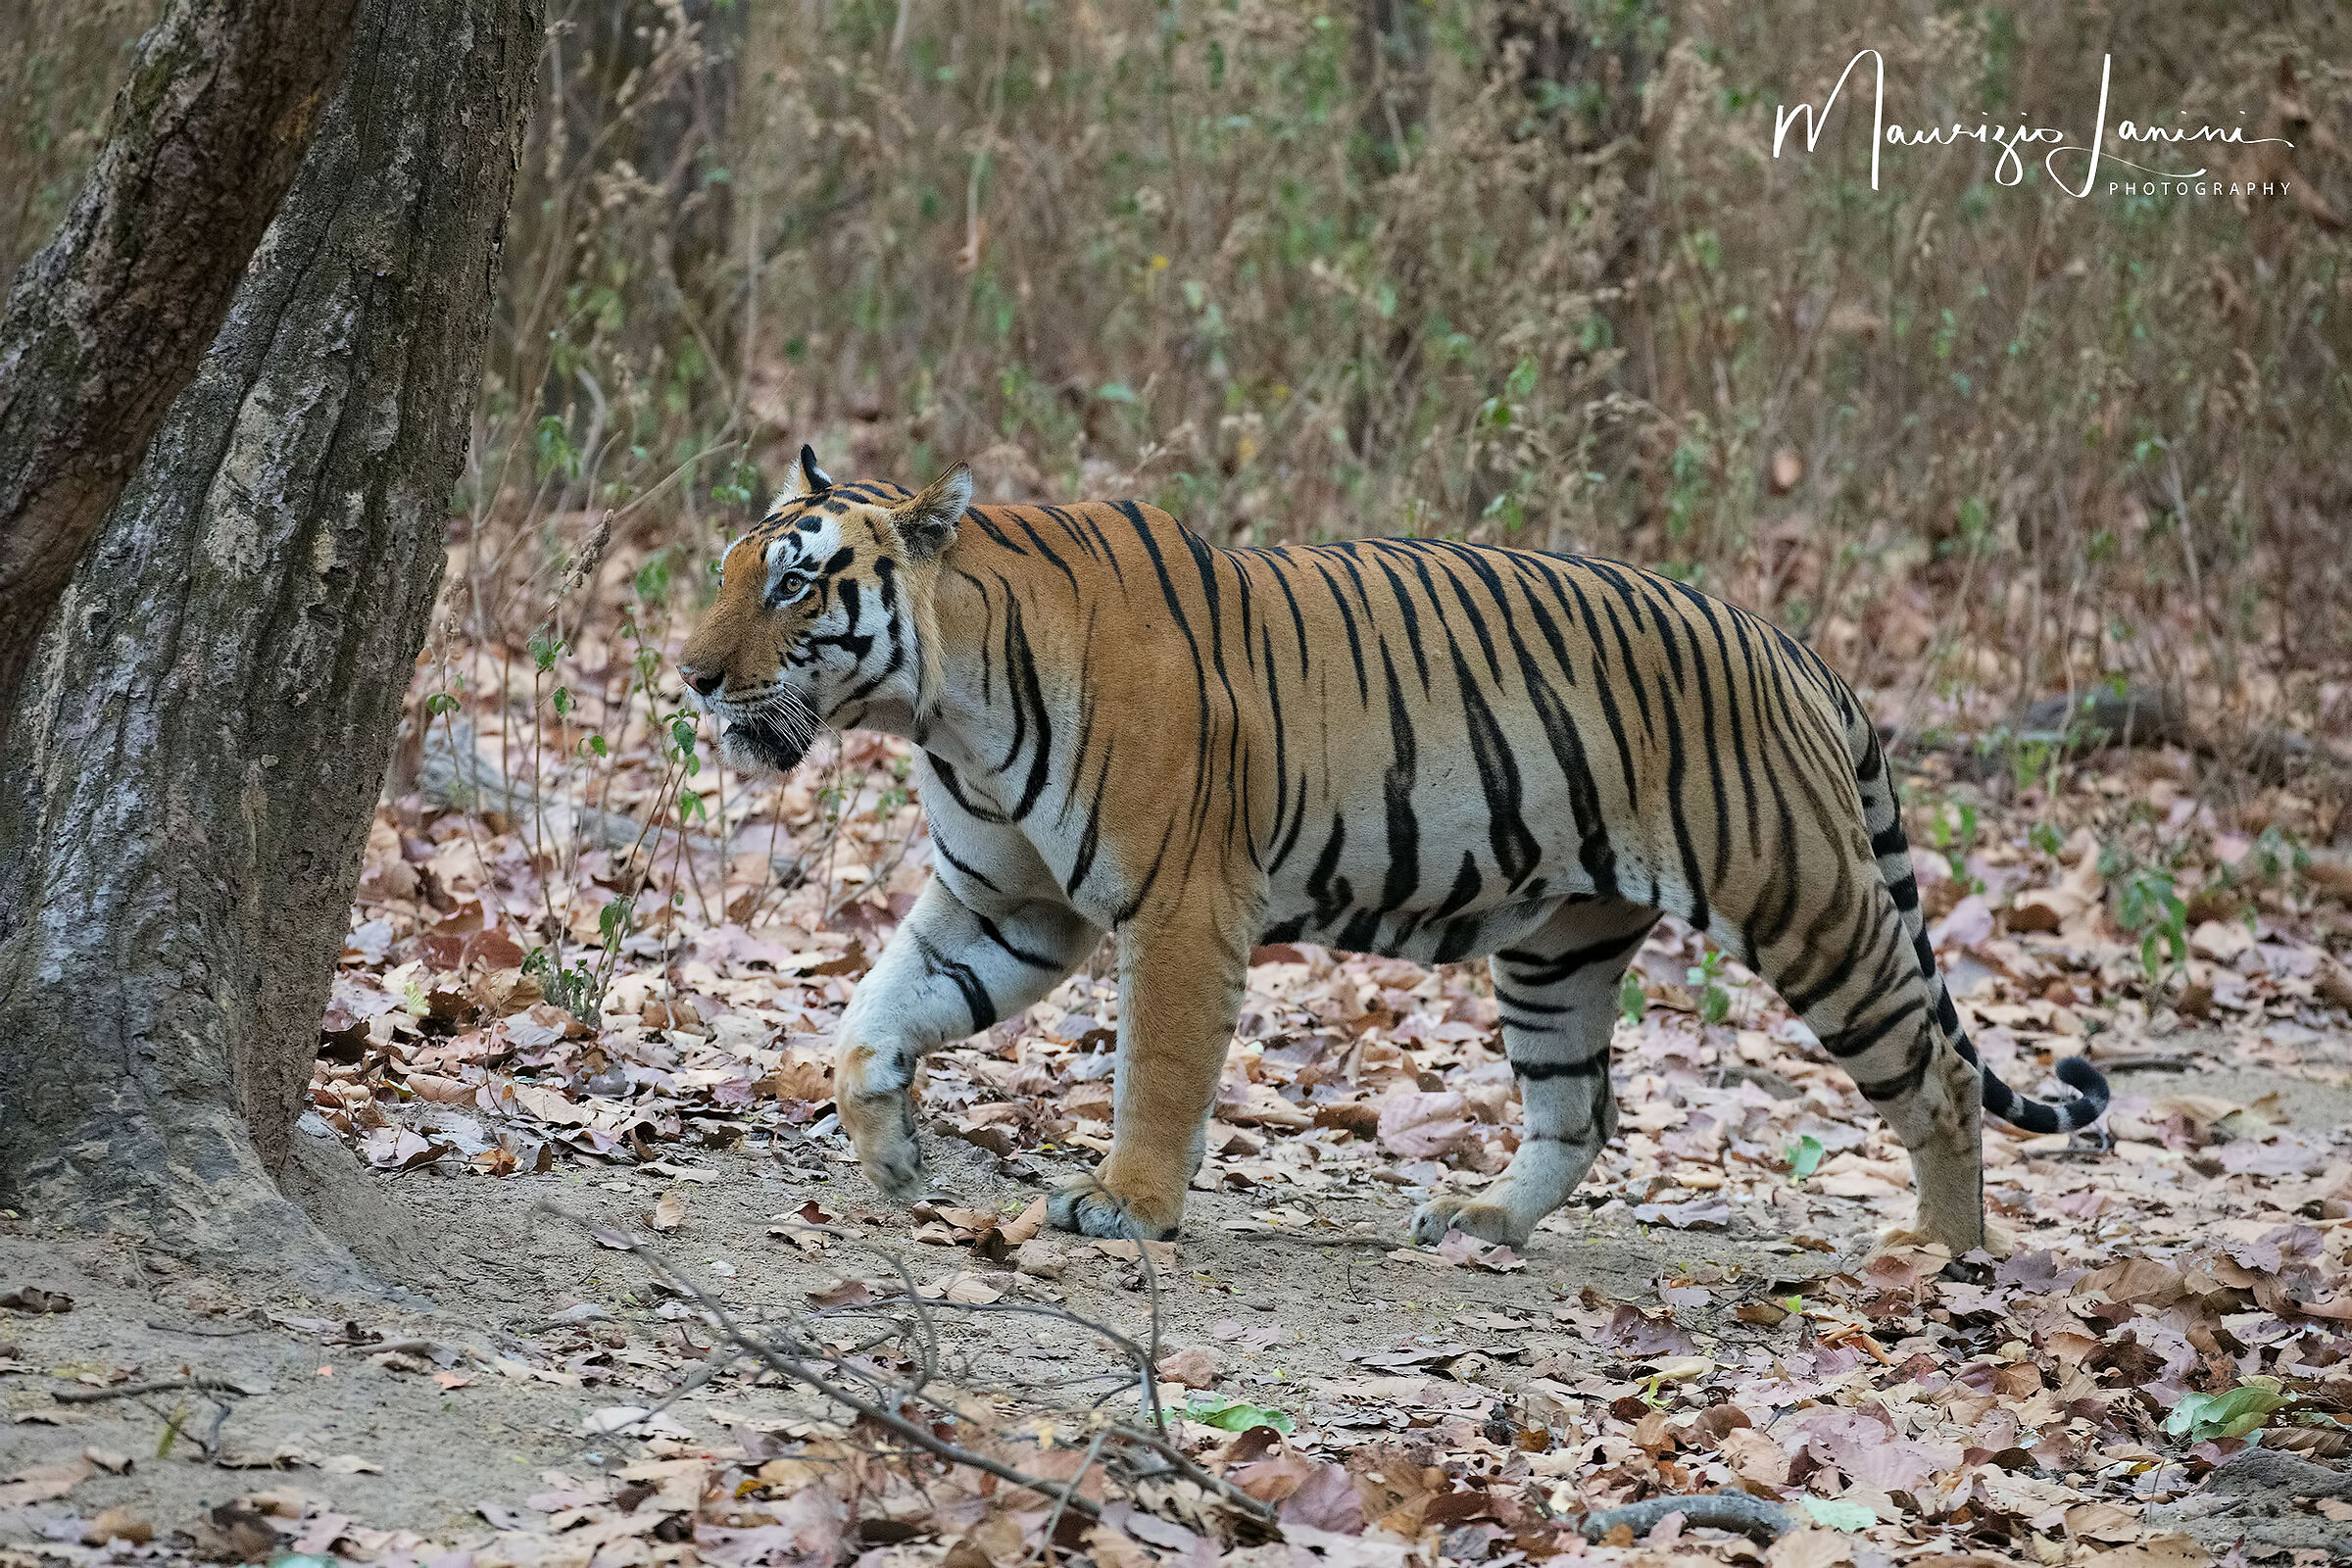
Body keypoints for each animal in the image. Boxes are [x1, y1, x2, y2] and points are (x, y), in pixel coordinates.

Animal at [678, 447, 2108, 1255]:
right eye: (731, 566)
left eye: (795, 583)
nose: (687, 674)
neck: (945, 705)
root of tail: (1796, 646)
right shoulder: (1006, 904)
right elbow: (872, 1017)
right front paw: (894, 1157)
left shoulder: (1181, 907)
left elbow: (1157, 1073)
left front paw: (1127, 1205)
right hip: (1559, 948)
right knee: (1581, 1108)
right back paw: (1481, 1224)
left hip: (1806, 903)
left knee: (1939, 1076)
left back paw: (1939, 1264)